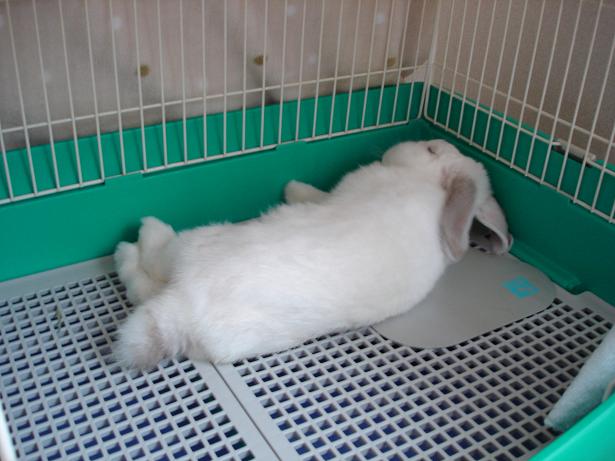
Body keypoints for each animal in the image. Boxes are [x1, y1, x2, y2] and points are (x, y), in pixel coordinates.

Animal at [113, 140, 511, 368]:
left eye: (431, 151)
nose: (397, 146)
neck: (429, 185)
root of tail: (184, 309)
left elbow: (317, 195)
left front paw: (292, 188)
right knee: (143, 290)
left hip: (192, 245)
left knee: (147, 267)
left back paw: (136, 239)